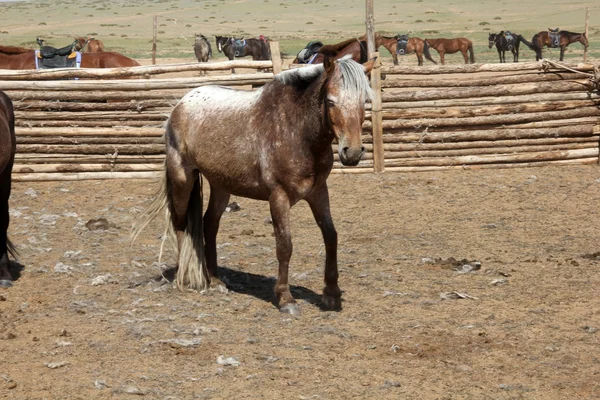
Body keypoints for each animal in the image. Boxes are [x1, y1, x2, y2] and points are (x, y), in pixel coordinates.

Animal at [135, 54, 376, 316]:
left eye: (364, 101)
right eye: (331, 101)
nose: (352, 153)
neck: (297, 130)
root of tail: (179, 105)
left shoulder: (319, 192)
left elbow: (331, 237)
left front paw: (331, 294)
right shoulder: (278, 197)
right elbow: (284, 245)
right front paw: (285, 298)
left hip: (221, 185)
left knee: (209, 224)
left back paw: (216, 280)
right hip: (182, 180)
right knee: (180, 224)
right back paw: (186, 276)